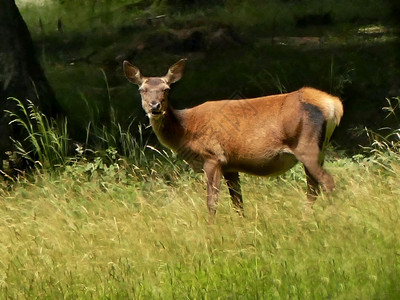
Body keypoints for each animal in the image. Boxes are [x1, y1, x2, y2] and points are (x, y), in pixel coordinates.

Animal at [122, 58, 344, 218]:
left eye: (167, 89)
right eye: (142, 89)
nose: (155, 106)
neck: (186, 131)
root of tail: (333, 104)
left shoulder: (213, 157)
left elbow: (212, 202)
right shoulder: (230, 165)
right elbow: (238, 203)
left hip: (306, 146)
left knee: (327, 182)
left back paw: (334, 216)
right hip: (319, 149)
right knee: (313, 187)